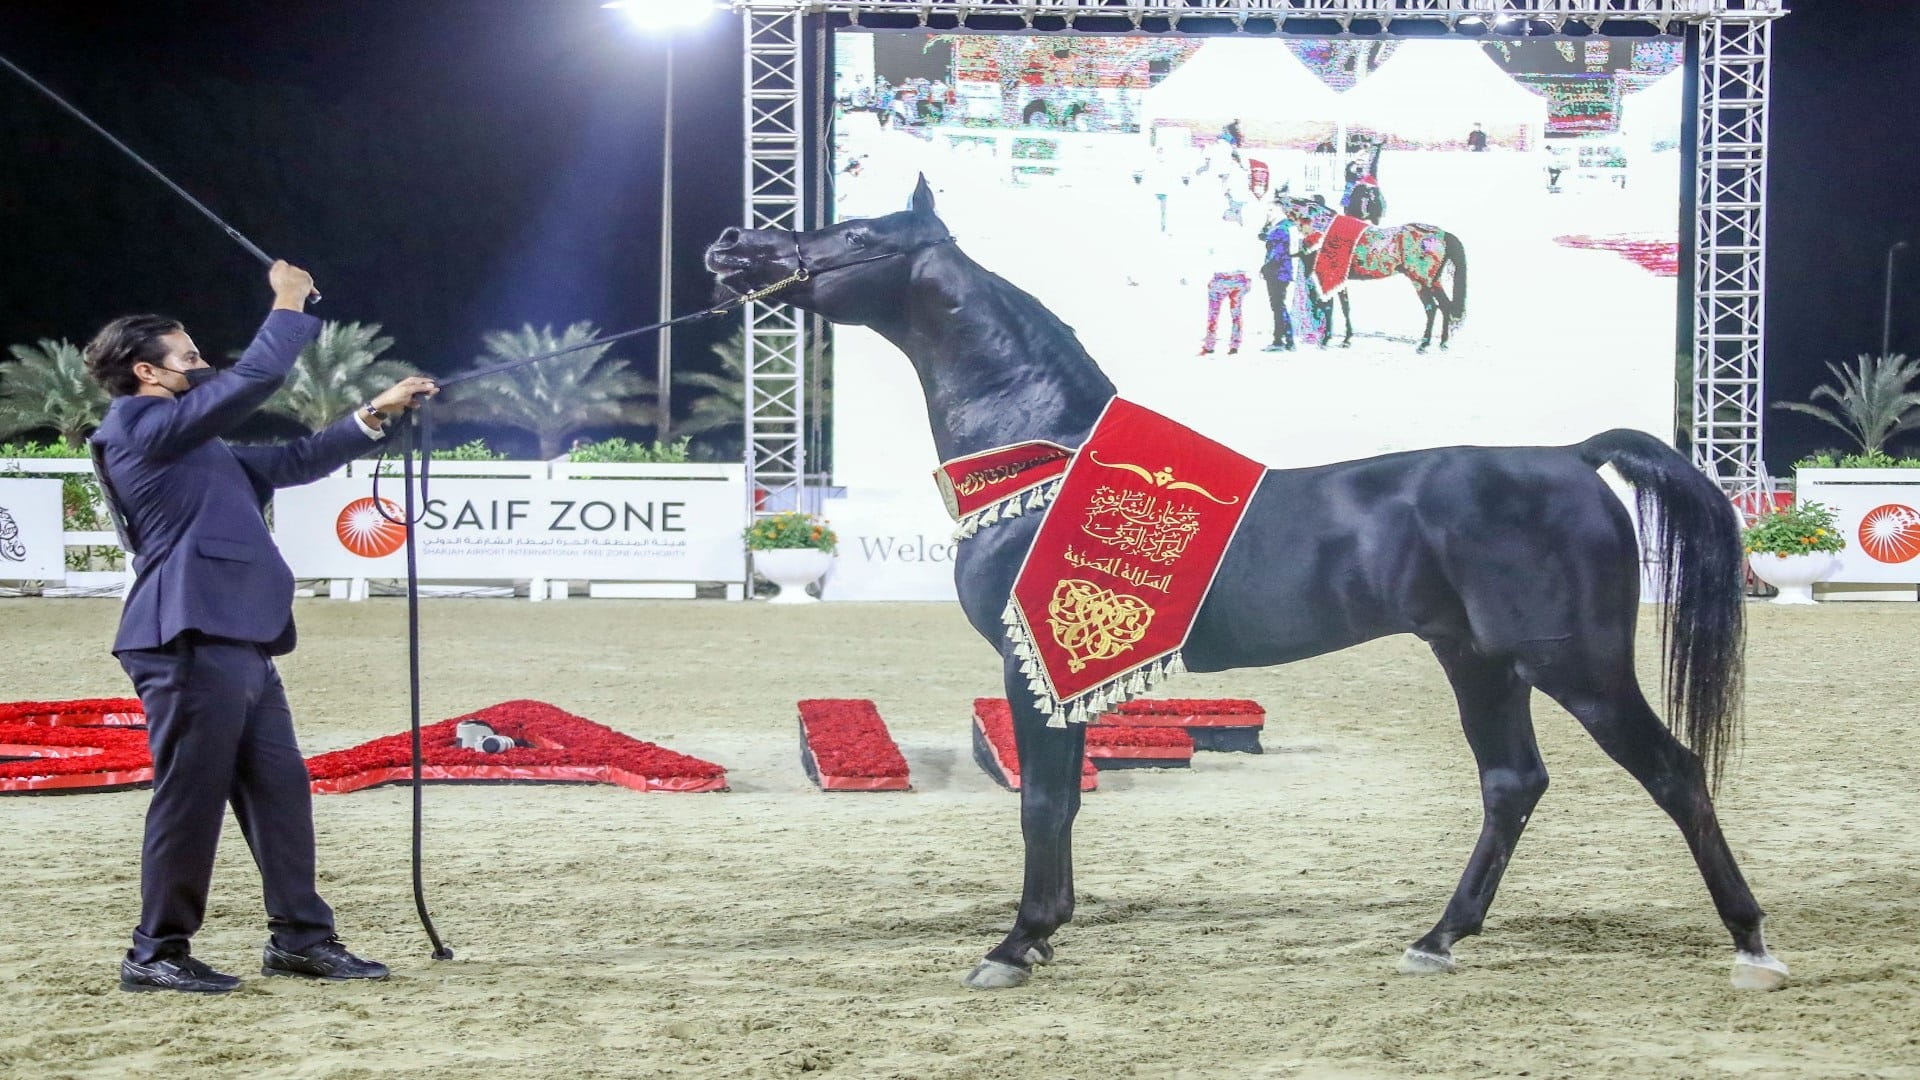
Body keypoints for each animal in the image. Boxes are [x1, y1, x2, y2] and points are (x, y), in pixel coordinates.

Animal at [702, 178, 1781, 991]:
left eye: (858, 235)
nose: (734, 244)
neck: (1048, 452)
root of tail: (1571, 457)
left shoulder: (1031, 661)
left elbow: (1042, 802)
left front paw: (1015, 943)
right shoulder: (1062, 672)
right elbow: (1063, 803)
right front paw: (1044, 933)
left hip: (1576, 666)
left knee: (1675, 772)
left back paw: (1753, 945)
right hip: (1480, 661)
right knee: (1513, 783)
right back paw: (1437, 940)